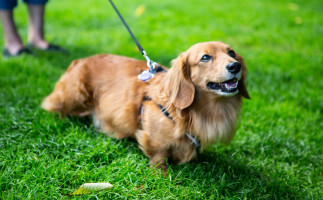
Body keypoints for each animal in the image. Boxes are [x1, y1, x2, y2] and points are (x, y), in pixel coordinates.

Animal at [42, 41, 251, 170]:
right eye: (205, 57)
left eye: (231, 53)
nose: (235, 66)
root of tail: (79, 61)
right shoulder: (154, 140)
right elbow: (159, 156)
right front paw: (160, 174)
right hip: (74, 97)